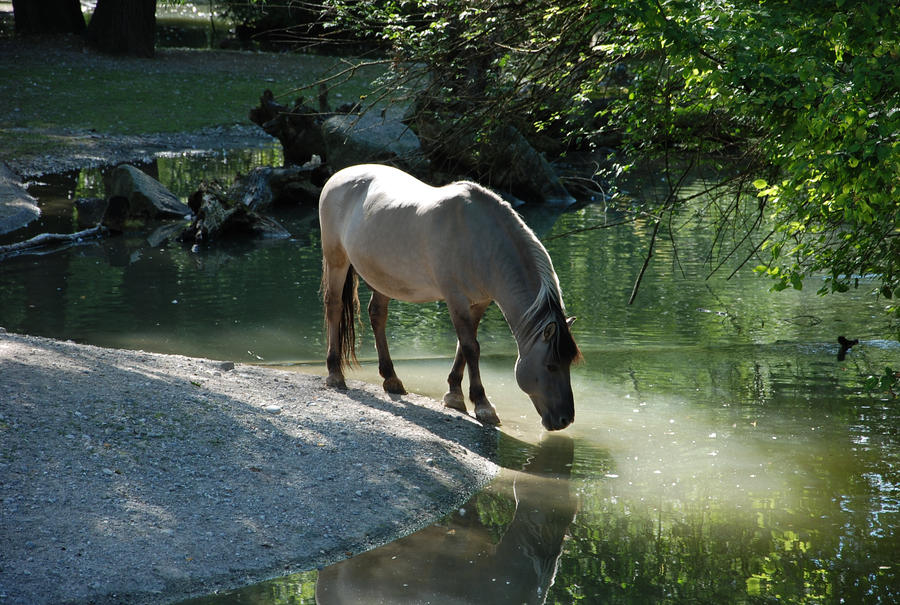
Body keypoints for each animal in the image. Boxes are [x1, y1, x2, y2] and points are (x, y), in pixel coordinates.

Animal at [320, 164, 580, 430]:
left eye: (568, 363)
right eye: (550, 366)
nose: (565, 419)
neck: (482, 240)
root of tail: (339, 176)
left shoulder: (479, 302)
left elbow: (462, 346)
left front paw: (454, 395)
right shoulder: (455, 298)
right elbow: (470, 347)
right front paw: (482, 405)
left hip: (382, 276)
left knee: (377, 315)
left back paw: (391, 379)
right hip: (336, 260)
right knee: (334, 306)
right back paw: (335, 373)